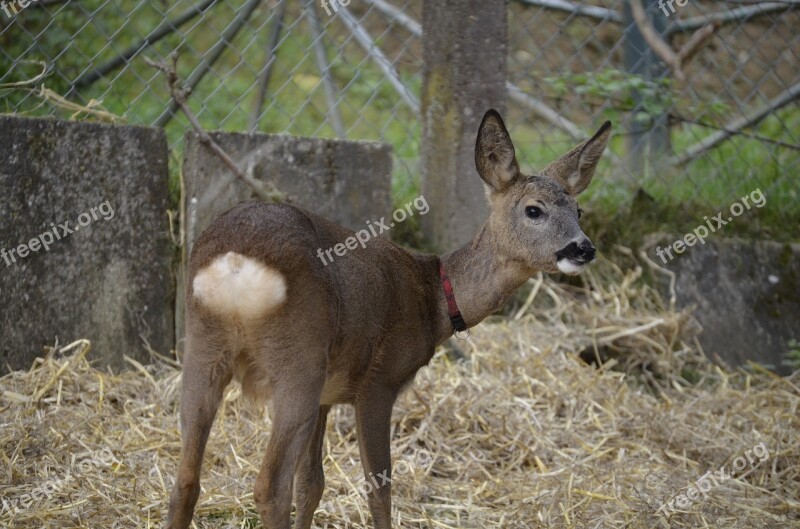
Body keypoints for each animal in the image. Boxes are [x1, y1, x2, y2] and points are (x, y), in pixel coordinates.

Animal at [164, 109, 612, 524]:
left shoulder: (327, 395)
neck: (434, 300)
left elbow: (312, 484)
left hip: (204, 349)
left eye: (578, 210)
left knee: (186, 478)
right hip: (297, 361)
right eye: (534, 210)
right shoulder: (377, 382)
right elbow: (378, 488)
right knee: (269, 485)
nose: (583, 248)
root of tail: (236, 264)